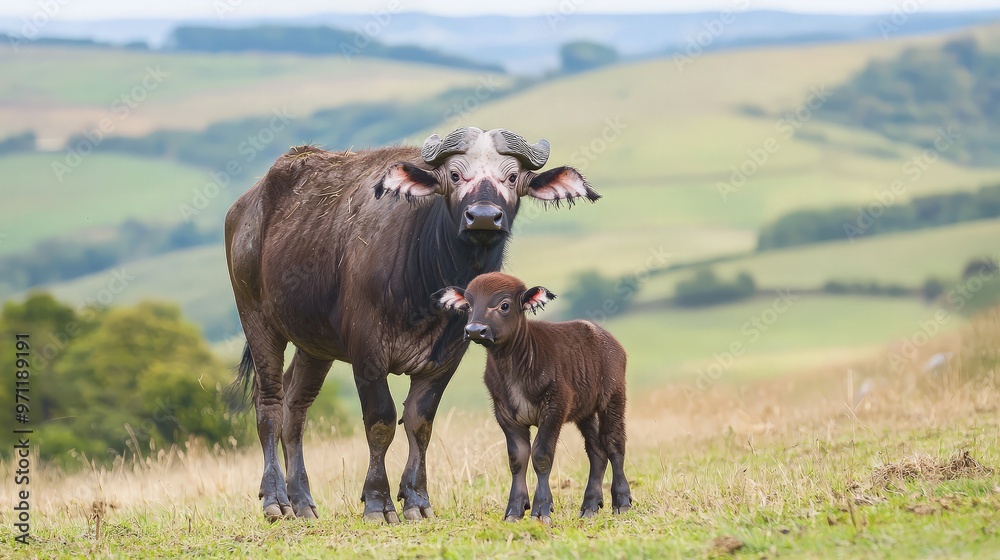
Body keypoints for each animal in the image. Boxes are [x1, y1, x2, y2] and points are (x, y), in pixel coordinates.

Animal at [224, 127, 600, 523]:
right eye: (455, 175)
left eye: (511, 177)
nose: (483, 216)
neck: (427, 286)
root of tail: (247, 206)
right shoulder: (367, 353)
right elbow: (381, 421)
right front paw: (378, 502)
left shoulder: (447, 357)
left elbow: (420, 423)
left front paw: (417, 499)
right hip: (256, 319)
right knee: (269, 403)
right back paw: (275, 500)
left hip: (315, 344)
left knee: (295, 407)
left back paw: (302, 501)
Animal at [436, 272, 632, 524]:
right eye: (469, 306)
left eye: (504, 305)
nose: (474, 330)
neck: (514, 367)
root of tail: (608, 339)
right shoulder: (505, 415)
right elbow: (517, 459)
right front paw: (514, 510)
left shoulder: (555, 407)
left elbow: (541, 455)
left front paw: (541, 509)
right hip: (585, 412)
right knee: (596, 451)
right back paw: (589, 506)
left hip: (614, 398)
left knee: (614, 444)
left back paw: (622, 502)